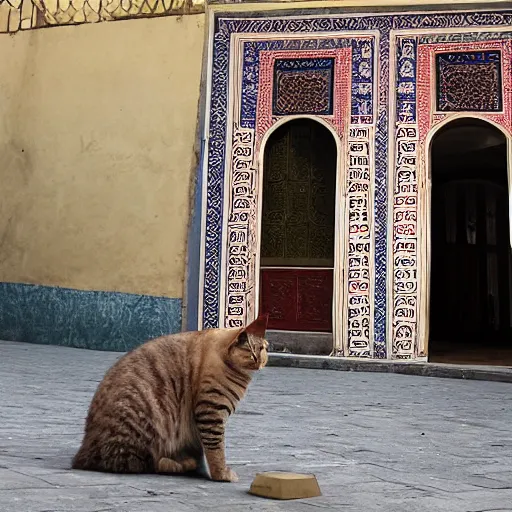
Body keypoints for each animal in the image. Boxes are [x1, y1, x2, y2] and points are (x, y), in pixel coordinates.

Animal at [74, 314, 272, 482]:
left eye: (264, 348)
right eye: (254, 350)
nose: (261, 359)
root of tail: (81, 456)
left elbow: (203, 450)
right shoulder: (211, 412)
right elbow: (216, 450)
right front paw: (221, 474)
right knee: (142, 463)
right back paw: (179, 464)